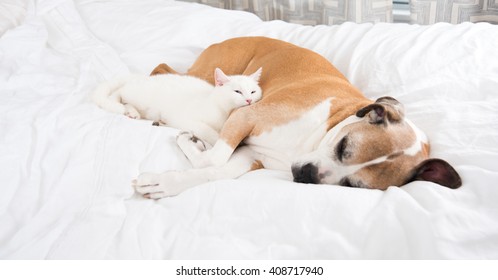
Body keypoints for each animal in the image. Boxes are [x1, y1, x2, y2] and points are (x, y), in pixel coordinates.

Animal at [91, 68, 262, 147]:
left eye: (253, 92)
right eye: (237, 91)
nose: (248, 99)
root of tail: (139, 77)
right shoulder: (188, 120)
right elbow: (208, 130)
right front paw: (217, 138)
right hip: (138, 95)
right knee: (118, 94)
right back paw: (129, 110)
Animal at [131, 37, 460, 198]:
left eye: (353, 186)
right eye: (344, 146)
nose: (306, 175)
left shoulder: (250, 155)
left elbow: (213, 170)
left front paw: (165, 183)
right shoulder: (245, 117)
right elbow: (213, 157)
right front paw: (193, 141)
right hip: (208, 75)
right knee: (161, 69)